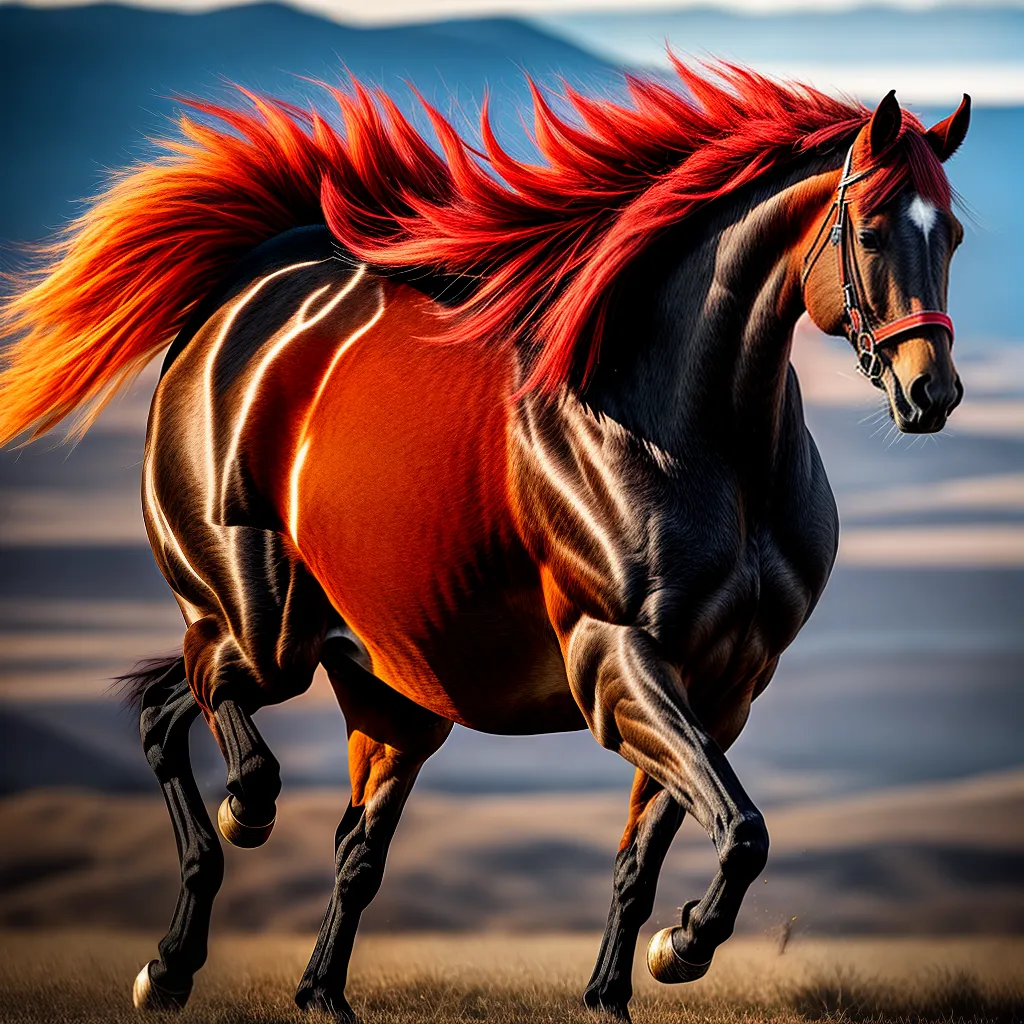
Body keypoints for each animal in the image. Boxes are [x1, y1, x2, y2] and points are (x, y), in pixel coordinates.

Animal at [0, 61, 969, 1021]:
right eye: (872, 230)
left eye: (953, 235)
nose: (933, 394)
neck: (695, 442)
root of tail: (246, 290)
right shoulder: (619, 664)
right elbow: (740, 828)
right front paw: (685, 945)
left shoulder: (726, 689)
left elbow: (657, 855)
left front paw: (620, 988)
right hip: (262, 627)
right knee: (195, 705)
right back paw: (214, 877)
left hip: (388, 688)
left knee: (331, 831)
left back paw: (286, 987)